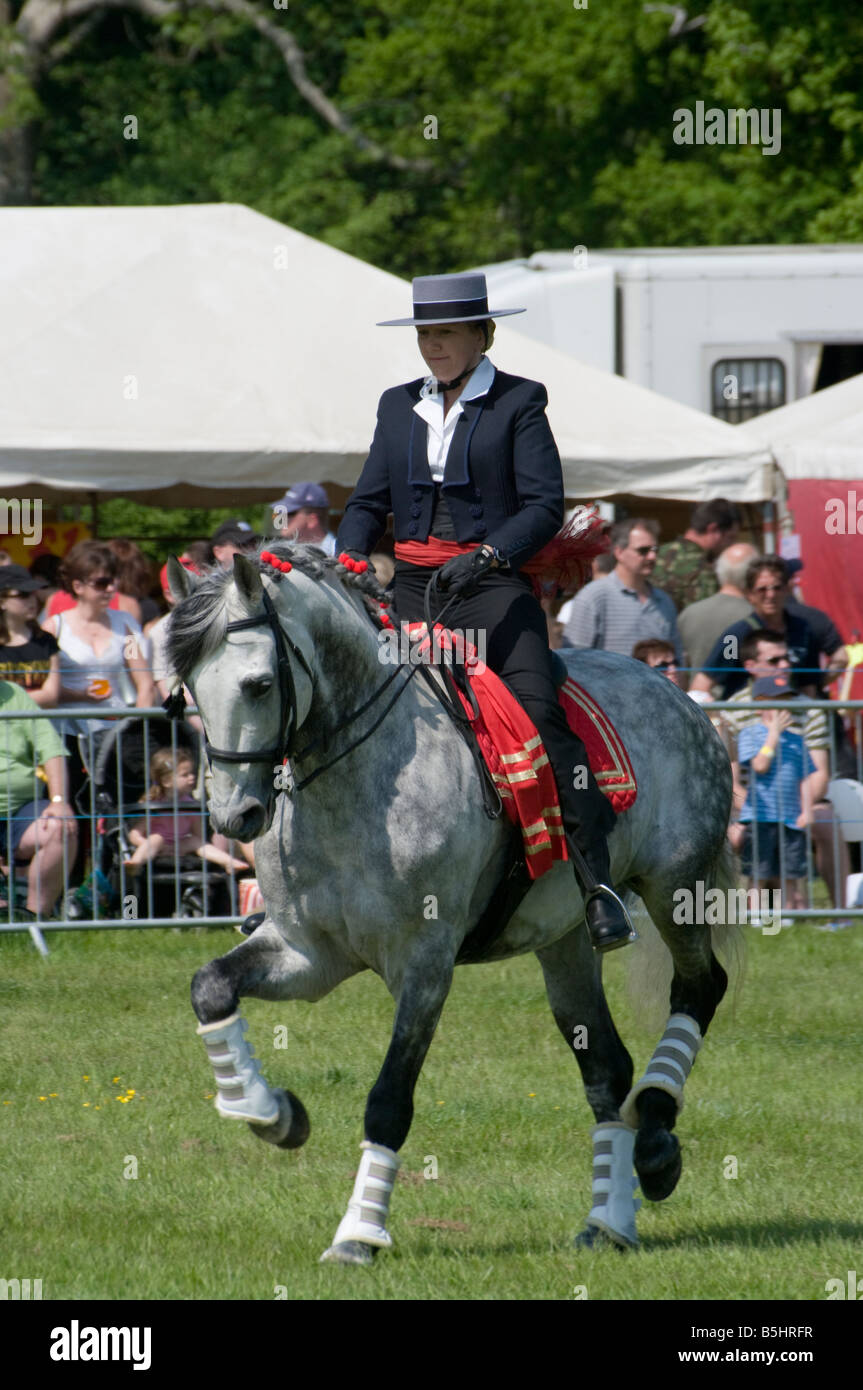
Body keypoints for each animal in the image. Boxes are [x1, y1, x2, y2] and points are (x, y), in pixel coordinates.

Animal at [168, 547, 739, 1267]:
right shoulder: (309, 953)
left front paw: (358, 1234)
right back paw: (608, 1220)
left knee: (699, 987)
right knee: (606, 1069)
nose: (234, 816)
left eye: (258, 684)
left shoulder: (424, 964)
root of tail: (677, 692)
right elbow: (211, 986)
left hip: (674, 887)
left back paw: (658, 1137)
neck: (356, 778)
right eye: (191, 688)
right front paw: (270, 1113)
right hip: (566, 939)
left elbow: (389, 1100)